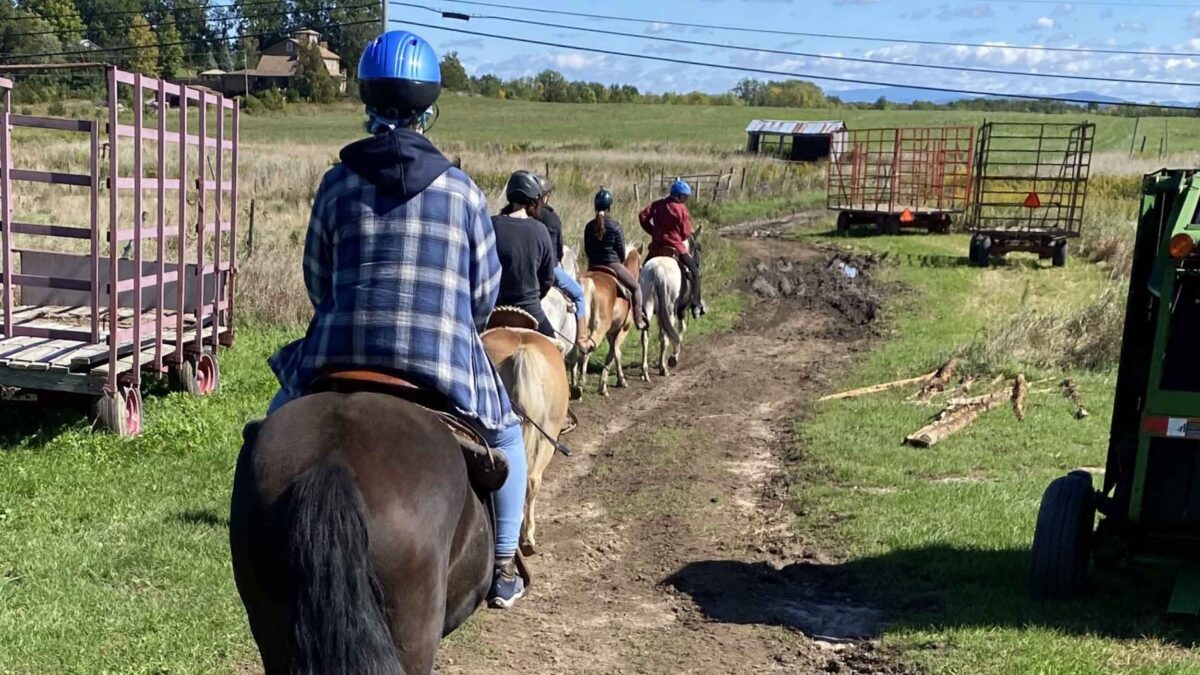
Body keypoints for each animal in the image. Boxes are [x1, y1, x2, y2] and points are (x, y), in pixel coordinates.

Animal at [576, 246, 643, 393]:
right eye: (641, 267)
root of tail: (588, 281)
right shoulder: (624, 329)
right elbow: (616, 352)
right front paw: (614, 382)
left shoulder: (610, 332)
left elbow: (613, 352)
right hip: (599, 329)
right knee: (587, 349)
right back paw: (581, 384)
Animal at [638, 227, 700, 379]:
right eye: (698, 248)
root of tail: (658, 270)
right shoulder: (681, 310)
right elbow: (681, 329)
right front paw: (674, 357)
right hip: (670, 310)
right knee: (666, 335)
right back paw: (664, 368)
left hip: (648, 307)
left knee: (645, 336)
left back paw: (645, 371)